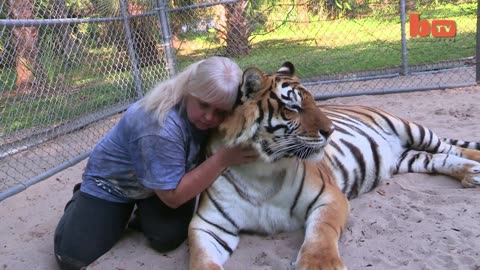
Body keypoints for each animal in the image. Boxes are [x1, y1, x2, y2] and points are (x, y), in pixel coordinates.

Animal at [188, 61, 480, 270]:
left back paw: (474, 166)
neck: (261, 170)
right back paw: (470, 174)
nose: (330, 131)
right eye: (293, 107)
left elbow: (321, 233)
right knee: (437, 158)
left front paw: (319, 265)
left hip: (412, 129)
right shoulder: (208, 224)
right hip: (405, 158)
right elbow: (200, 259)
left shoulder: (329, 196)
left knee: (450, 147)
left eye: (315, 101)